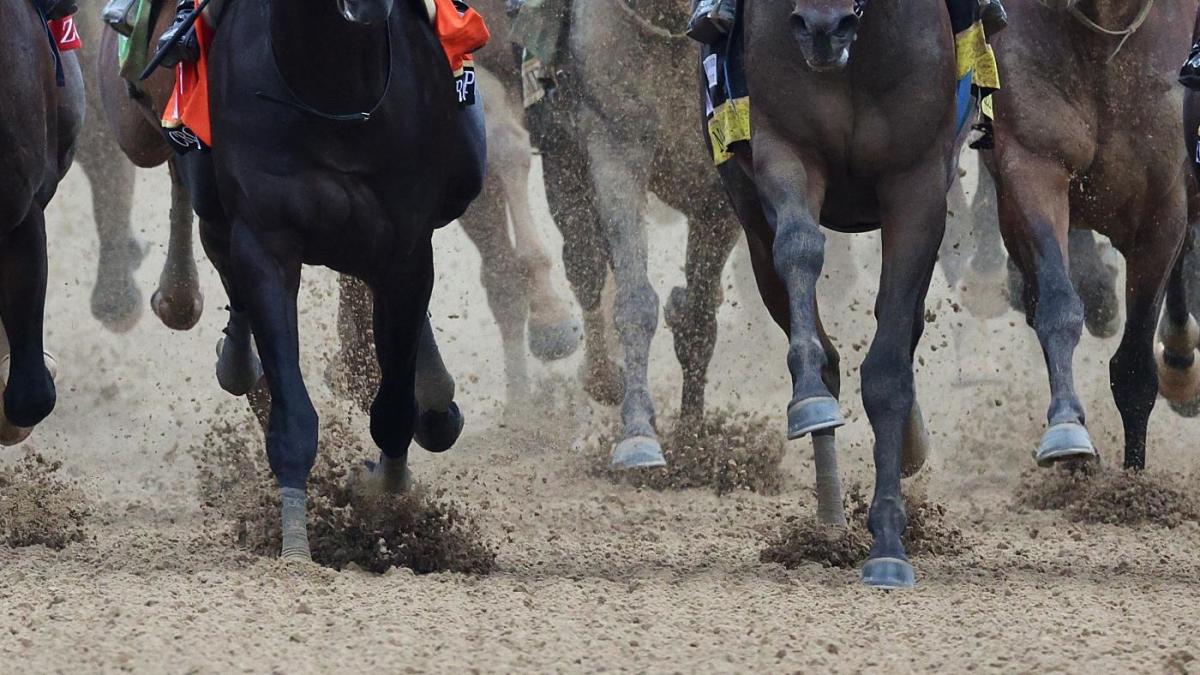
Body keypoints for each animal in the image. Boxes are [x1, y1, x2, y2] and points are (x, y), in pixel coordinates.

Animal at [191, 0, 485, 559]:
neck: (335, 85)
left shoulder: (405, 251)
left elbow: (393, 408)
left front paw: (379, 493)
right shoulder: (265, 242)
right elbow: (292, 413)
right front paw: (295, 547)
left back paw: (437, 405)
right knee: (216, 243)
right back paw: (235, 359)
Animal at [527, 0, 743, 468]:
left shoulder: (721, 197)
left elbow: (699, 319)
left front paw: (694, 441)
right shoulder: (614, 142)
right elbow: (634, 301)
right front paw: (639, 432)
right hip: (563, 156)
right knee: (586, 264)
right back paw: (605, 379)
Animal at [715, 0, 967, 587]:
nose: (823, 27)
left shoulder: (918, 183)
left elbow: (889, 369)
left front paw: (890, 542)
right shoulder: (784, 147)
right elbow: (799, 247)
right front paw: (809, 399)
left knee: (905, 325)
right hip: (748, 211)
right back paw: (829, 524)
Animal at [989, 0, 1200, 471]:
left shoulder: (1163, 207)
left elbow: (1135, 367)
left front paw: (1133, 480)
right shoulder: (1032, 161)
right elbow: (1058, 305)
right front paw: (1067, 430)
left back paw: (1181, 361)